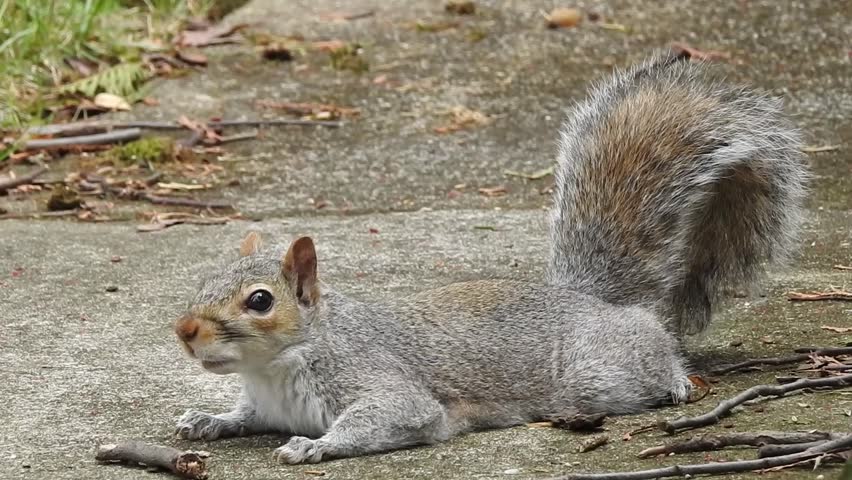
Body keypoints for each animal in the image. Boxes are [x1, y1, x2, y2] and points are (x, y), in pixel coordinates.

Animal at [171, 50, 804, 464]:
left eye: (260, 301)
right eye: (202, 278)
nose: (185, 331)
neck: (275, 369)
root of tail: (591, 298)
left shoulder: (381, 383)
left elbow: (393, 416)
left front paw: (312, 445)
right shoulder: (267, 403)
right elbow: (243, 416)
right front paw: (208, 419)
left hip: (600, 373)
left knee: (656, 357)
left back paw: (676, 383)